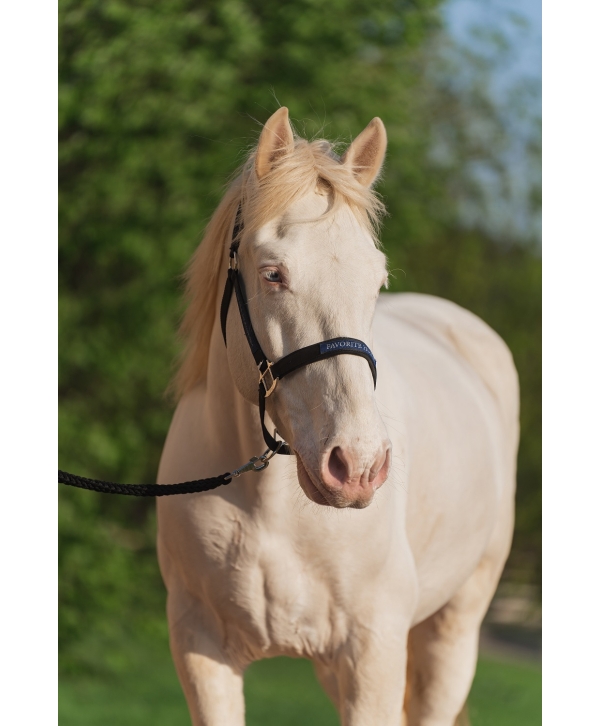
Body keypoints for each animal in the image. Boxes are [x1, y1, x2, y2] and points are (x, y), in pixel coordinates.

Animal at [156, 107, 519, 726]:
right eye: (272, 273)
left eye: (377, 279)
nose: (358, 466)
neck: (270, 508)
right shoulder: (199, 649)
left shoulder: (373, 653)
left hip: (453, 630)